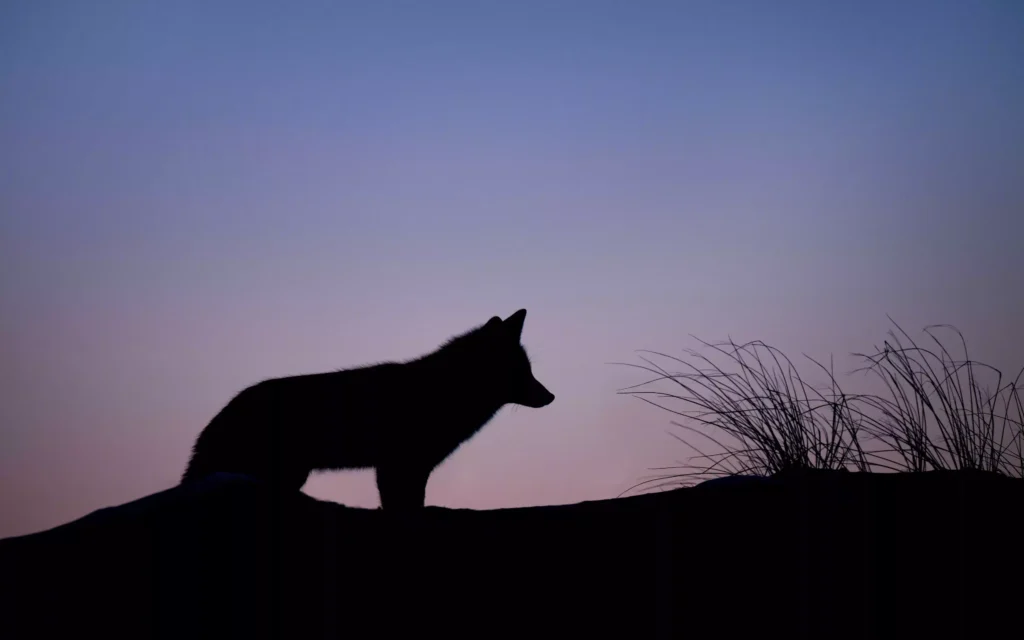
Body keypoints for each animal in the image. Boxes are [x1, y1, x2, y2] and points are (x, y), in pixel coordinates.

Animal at [181, 309, 555, 510]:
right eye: (521, 372)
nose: (551, 396)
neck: (443, 390)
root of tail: (224, 412)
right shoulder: (398, 466)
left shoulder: (410, 468)